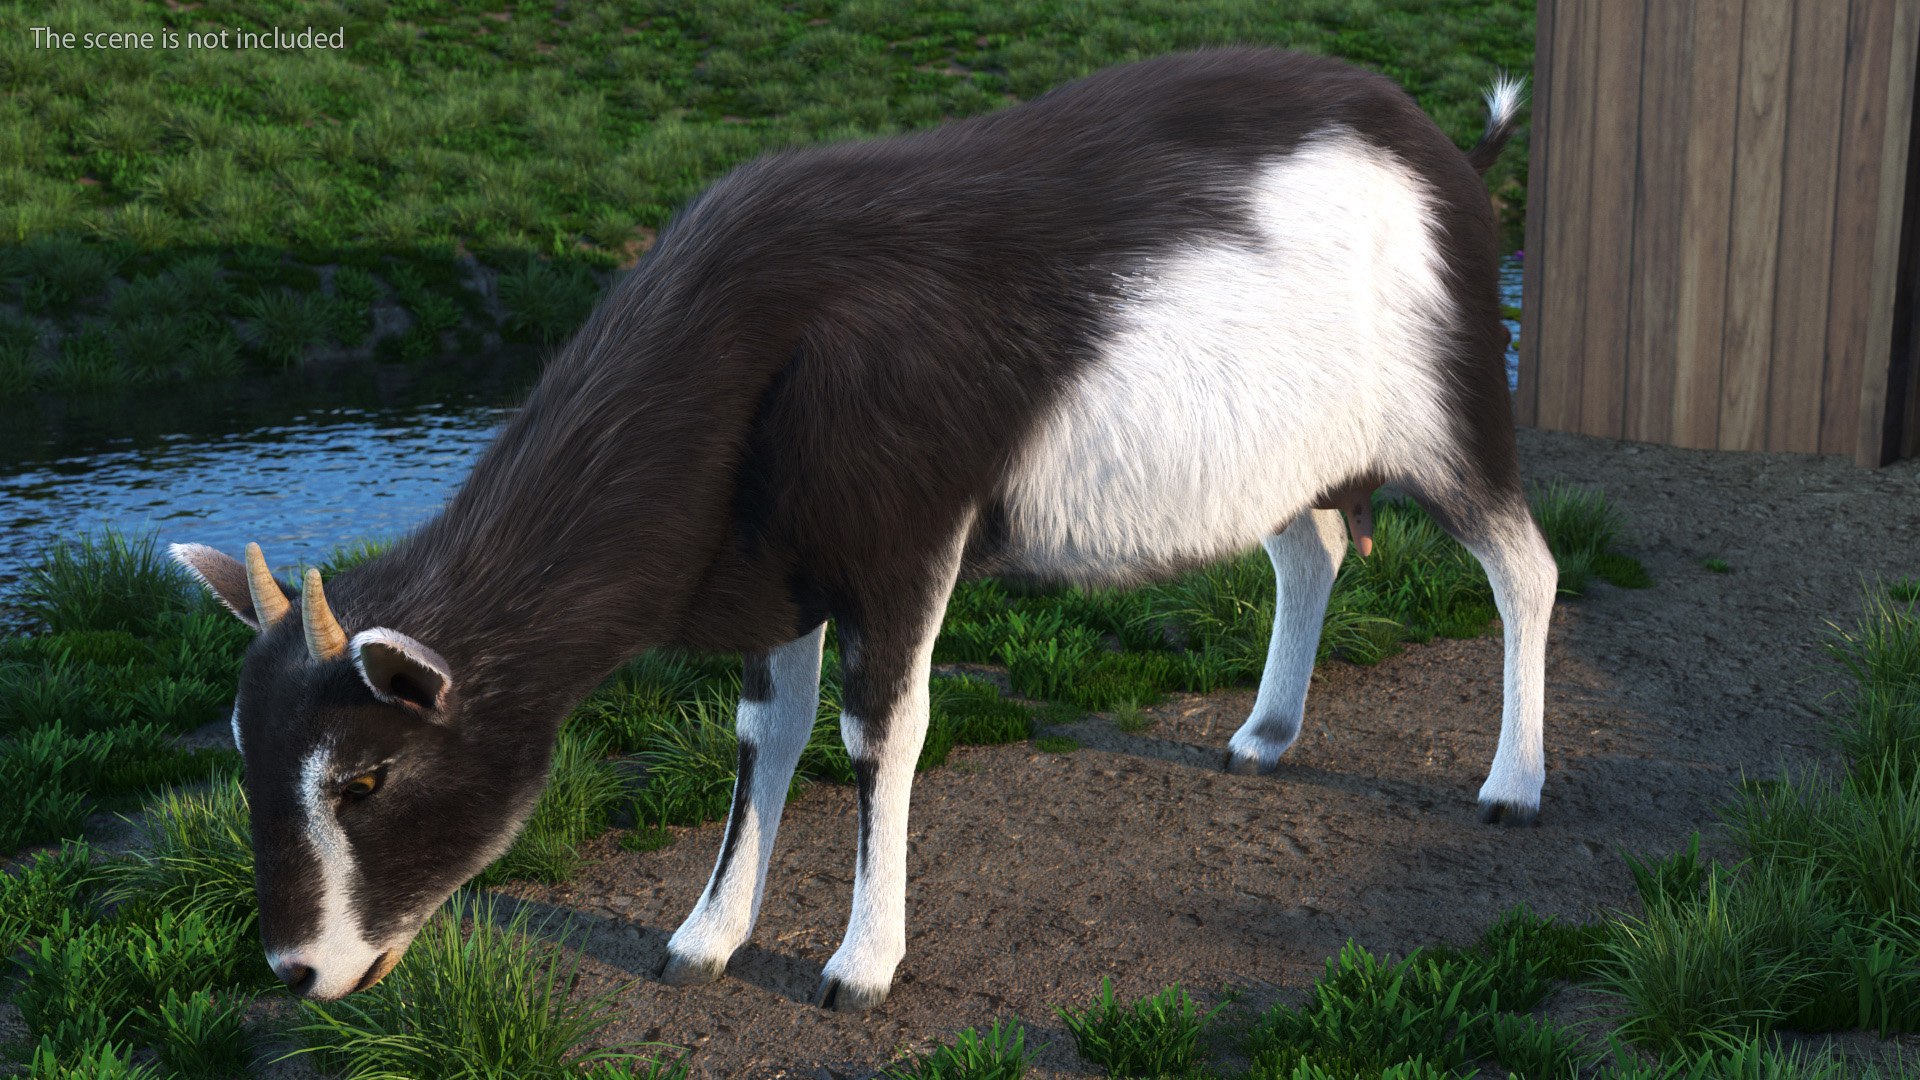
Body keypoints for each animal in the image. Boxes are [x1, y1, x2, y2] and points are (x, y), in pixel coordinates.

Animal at [172, 47, 1550, 1012]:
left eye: (365, 777)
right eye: (244, 751)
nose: (295, 972)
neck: (755, 334)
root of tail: (1455, 149)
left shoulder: (906, 543)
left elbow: (881, 735)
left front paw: (860, 968)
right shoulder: (778, 573)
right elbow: (764, 736)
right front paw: (703, 941)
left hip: (1456, 417)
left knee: (1523, 570)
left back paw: (1512, 786)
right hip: (1283, 457)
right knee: (1311, 551)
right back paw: (1264, 737)